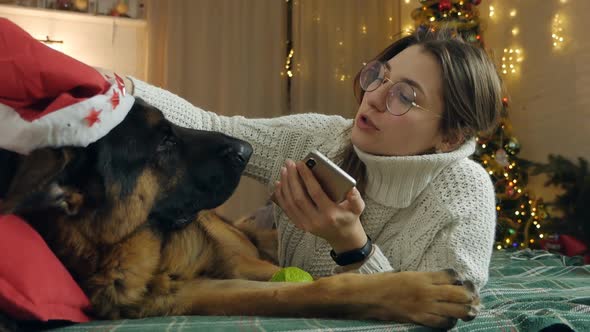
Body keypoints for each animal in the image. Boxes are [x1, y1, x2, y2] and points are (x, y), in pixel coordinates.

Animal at [0, 99, 480, 330]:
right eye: (163, 144)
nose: (248, 150)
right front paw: (419, 293)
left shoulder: (240, 267)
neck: (147, 244)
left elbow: (320, 281)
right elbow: (316, 290)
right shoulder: (195, 293)